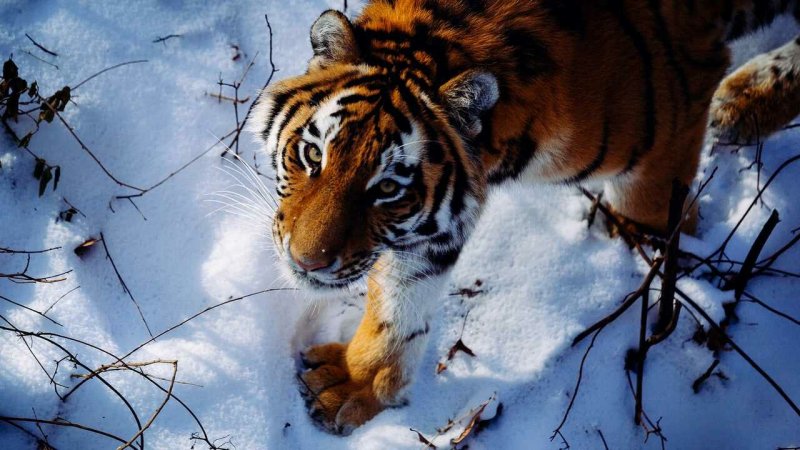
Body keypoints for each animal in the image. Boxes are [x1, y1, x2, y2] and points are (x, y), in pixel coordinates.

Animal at [248, 0, 800, 434]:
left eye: (387, 188)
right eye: (312, 155)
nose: (306, 263)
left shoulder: (665, 146)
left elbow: (652, 234)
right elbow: (402, 298)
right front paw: (357, 383)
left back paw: (741, 101)